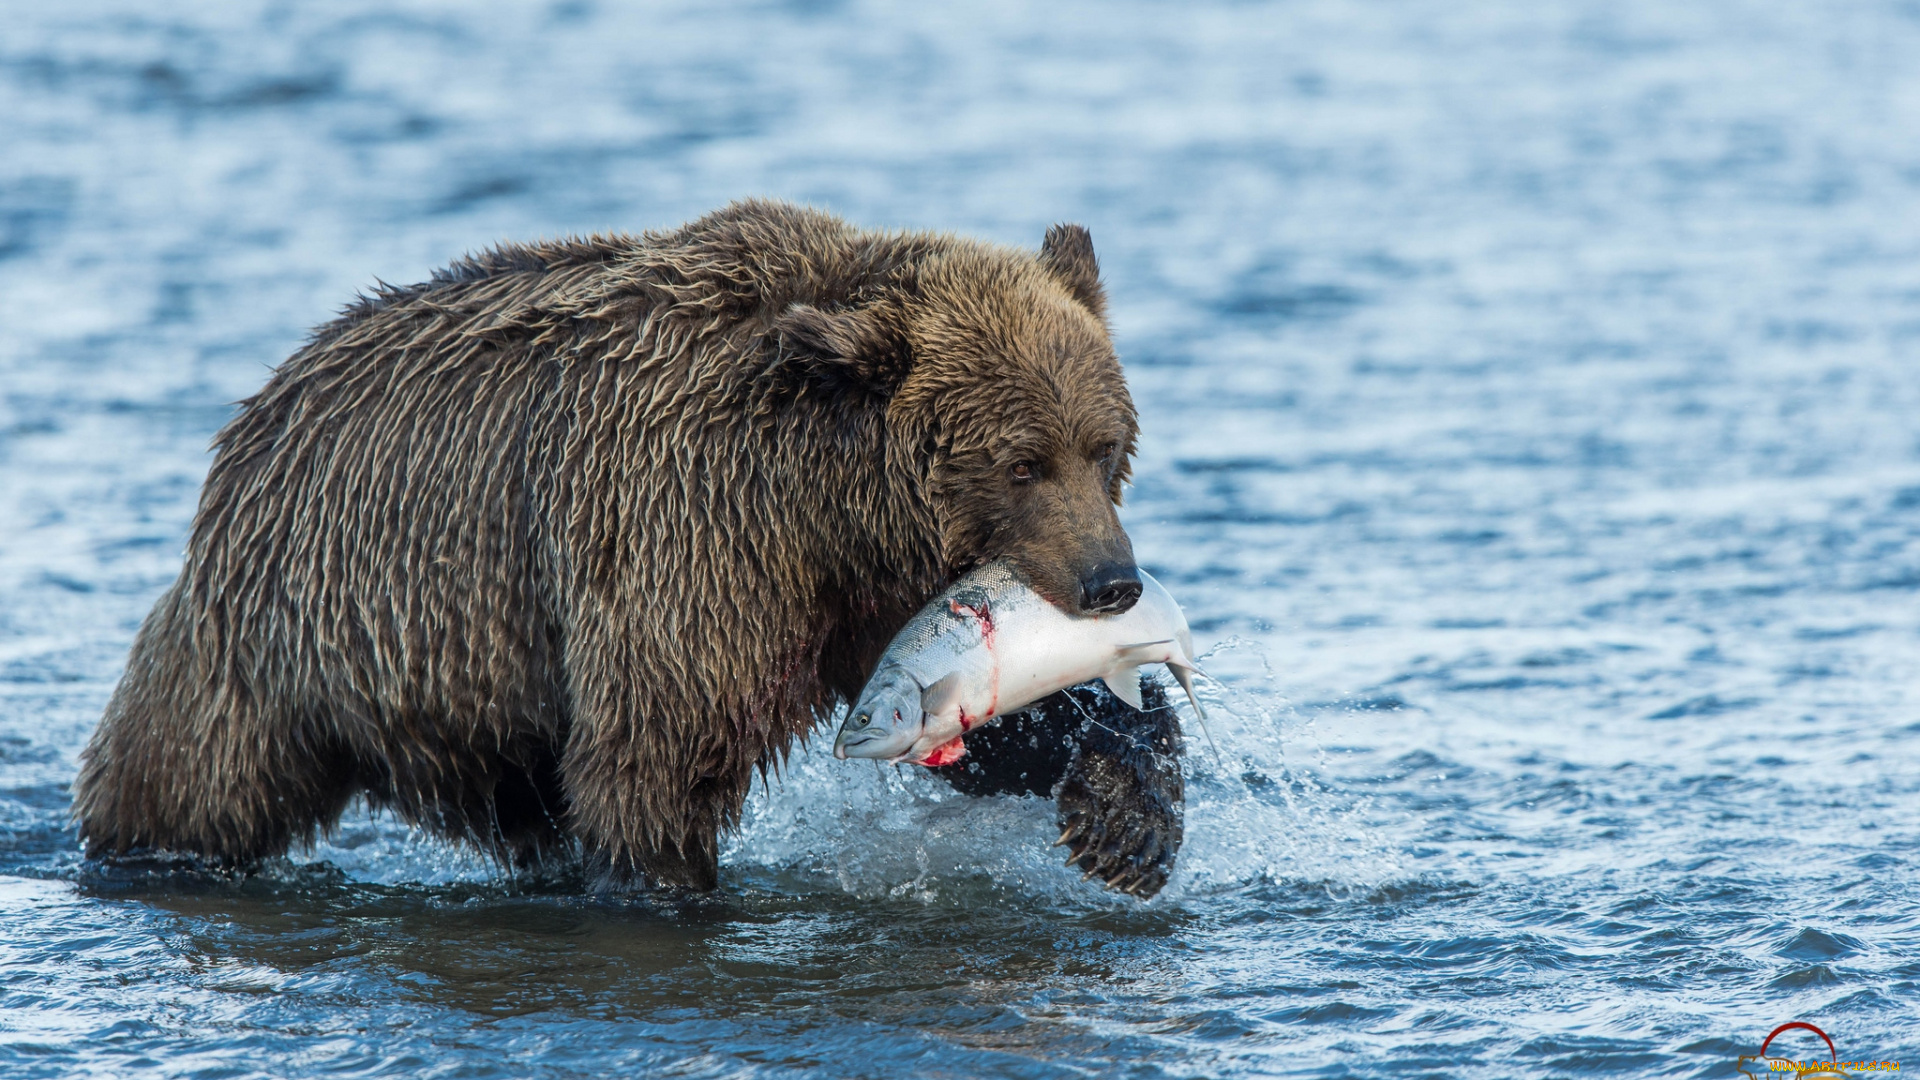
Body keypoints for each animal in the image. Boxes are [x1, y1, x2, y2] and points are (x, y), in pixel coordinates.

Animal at [74, 199, 1175, 891]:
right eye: (1021, 462)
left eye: (1102, 445)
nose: (1111, 582)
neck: (825, 504)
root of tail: (258, 411)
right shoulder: (683, 536)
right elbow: (659, 756)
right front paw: (670, 881)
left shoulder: (856, 601)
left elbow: (994, 724)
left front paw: (1124, 817)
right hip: (293, 633)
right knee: (187, 775)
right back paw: (139, 850)